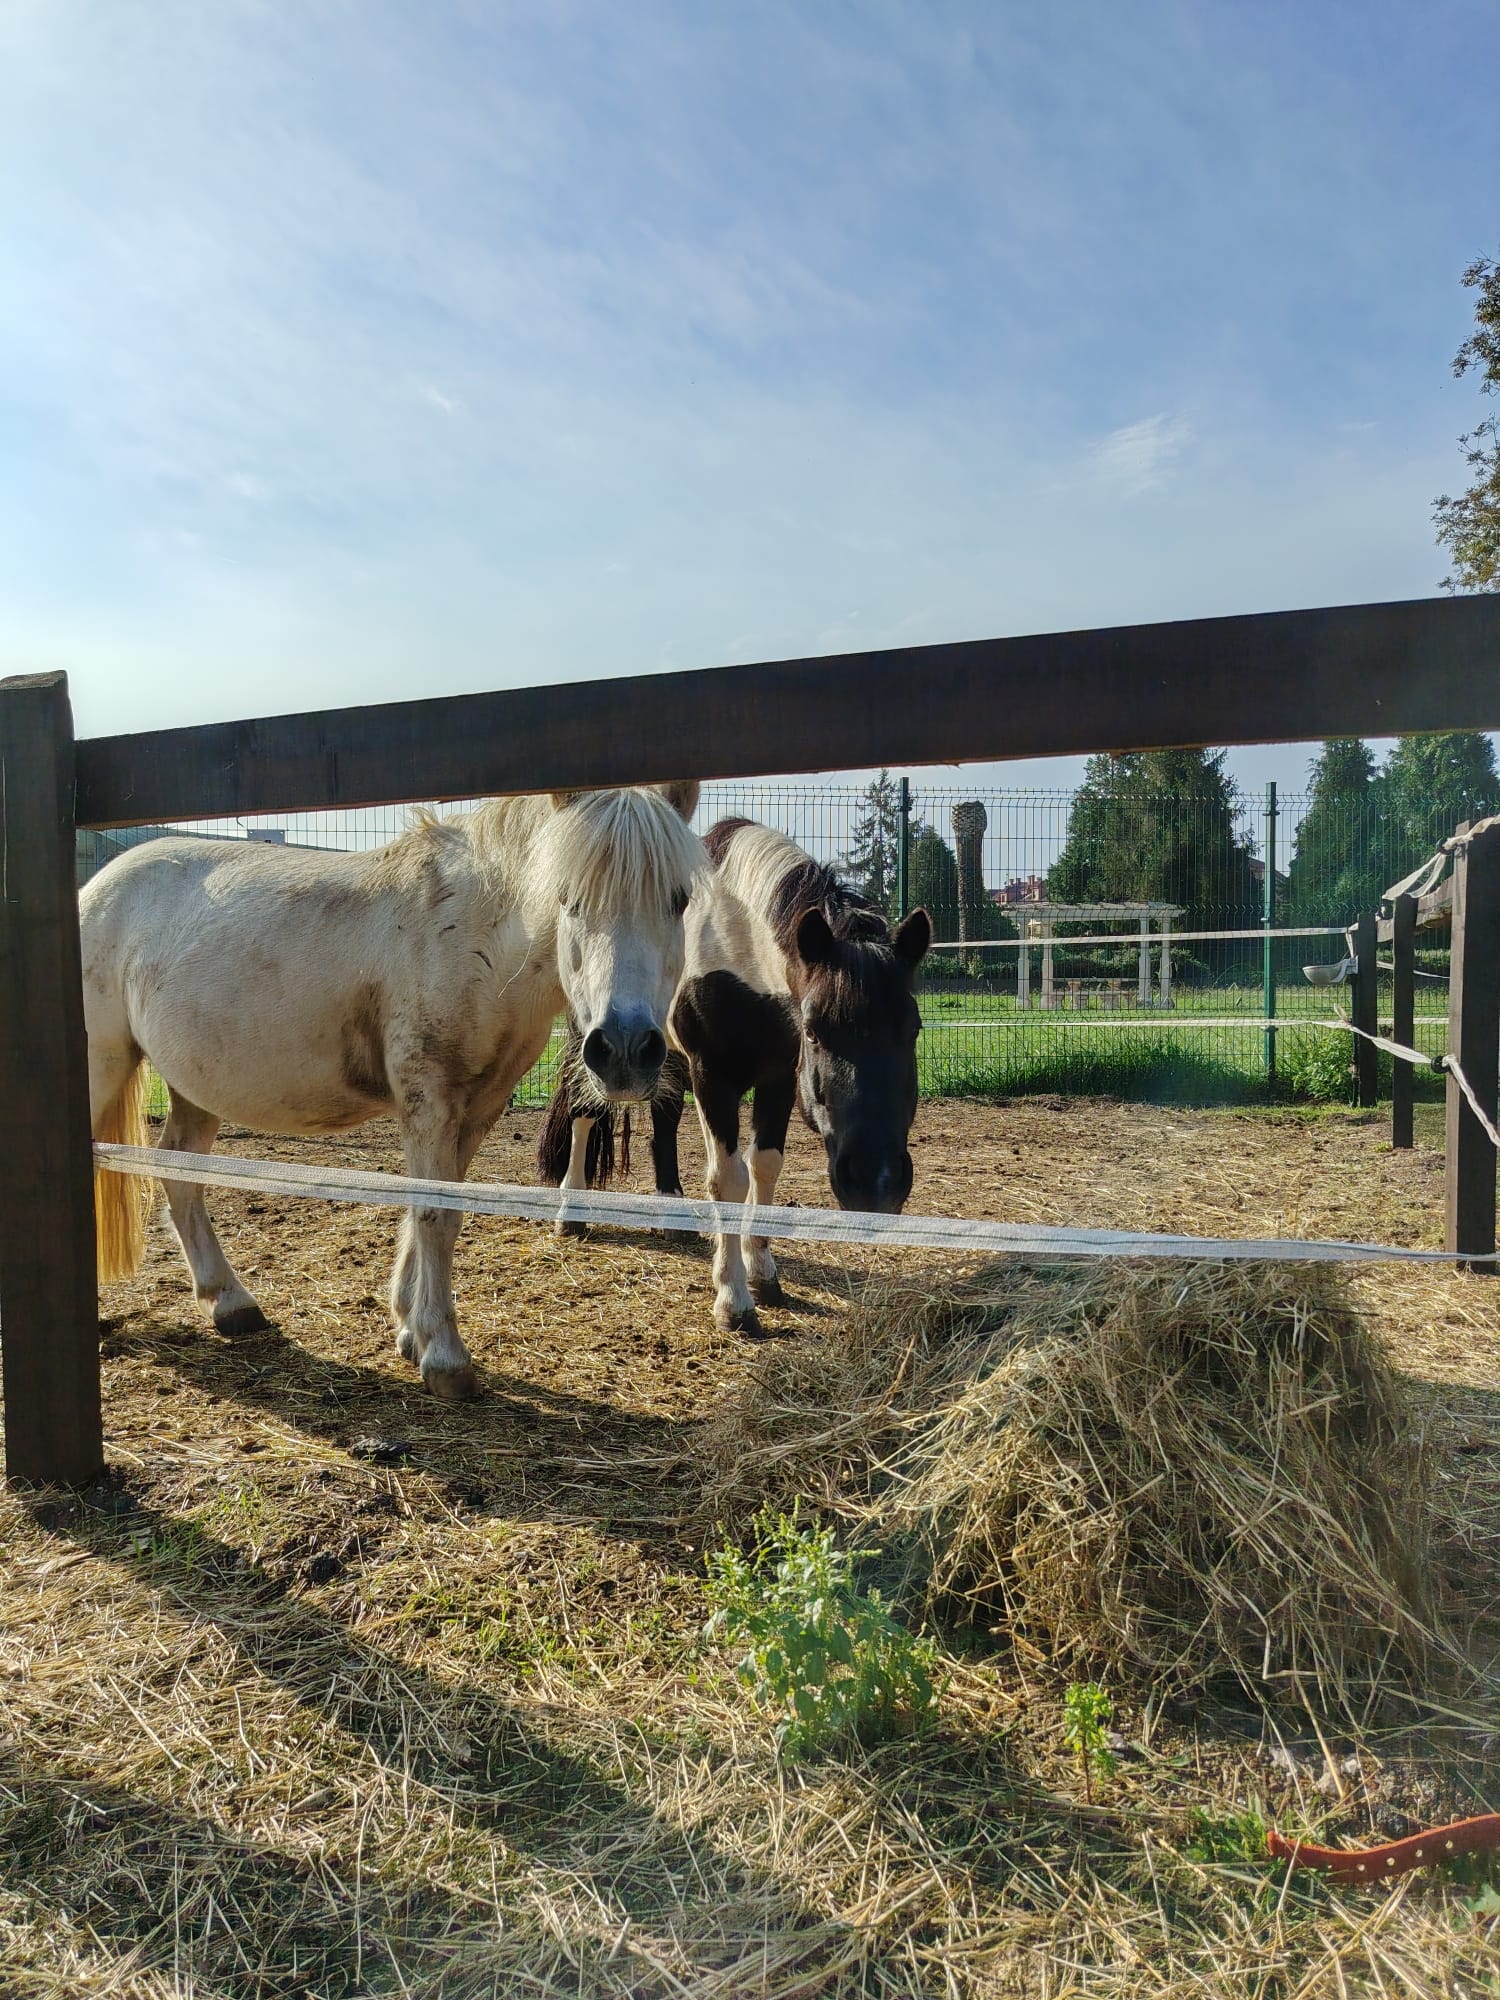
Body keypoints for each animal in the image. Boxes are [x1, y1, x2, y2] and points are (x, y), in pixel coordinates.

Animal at [84, 783, 704, 1399]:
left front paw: (411, 1330)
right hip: (102, 1070)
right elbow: (434, 1215)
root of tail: (96, 889)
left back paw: (230, 1303)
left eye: (678, 899)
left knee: (179, 1172)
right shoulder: (429, 1101)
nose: (625, 1048)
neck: (475, 938)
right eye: (568, 897)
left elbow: (430, 1209)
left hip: (195, 1086)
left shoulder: (477, 1108)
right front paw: (446, 1356)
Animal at [538, 817, 931, 1333]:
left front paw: (762, 1272)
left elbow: (764, 1168)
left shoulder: (778, 1079)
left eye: (914, 1028)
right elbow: (727, 1178)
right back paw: (572, 1211)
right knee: (584, 1114)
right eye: (813, 1030)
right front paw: (733, 1298)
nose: (876, 1183)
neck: (737, 947)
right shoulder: (713, 1078)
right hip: (598, 1044)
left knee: (663, 1126)